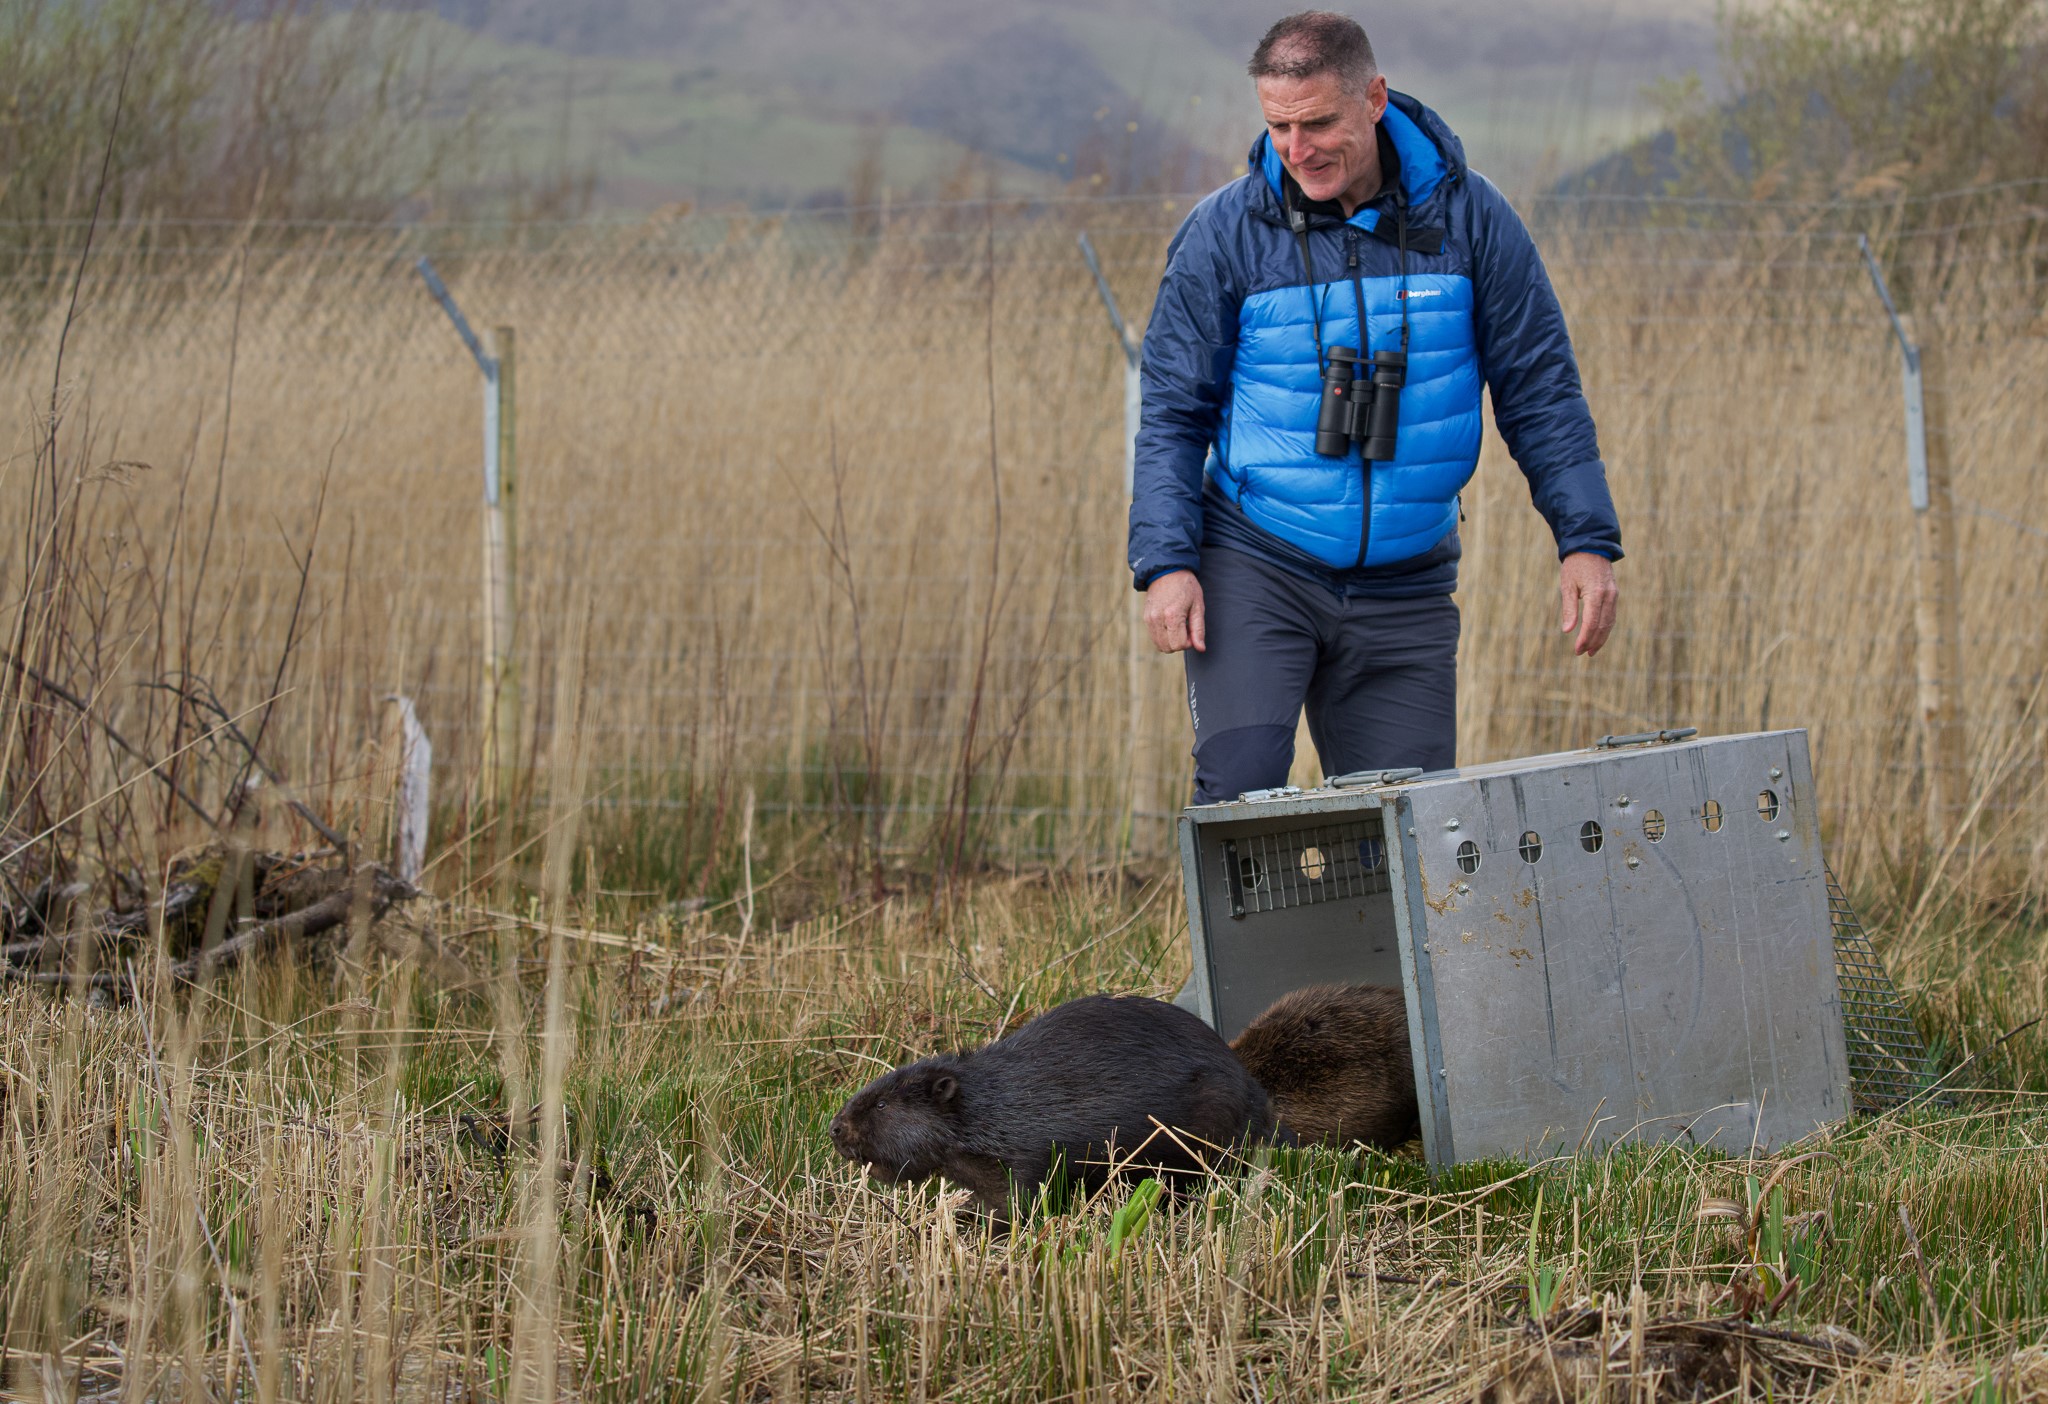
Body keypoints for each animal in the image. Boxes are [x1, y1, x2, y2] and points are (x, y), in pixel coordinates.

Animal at [823, 994, 1269, 1227]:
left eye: (882, 1103)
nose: (835, 1129)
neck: (991, 1106)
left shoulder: (1031, 1151)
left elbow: (1022, 1199)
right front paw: (955, 1217)